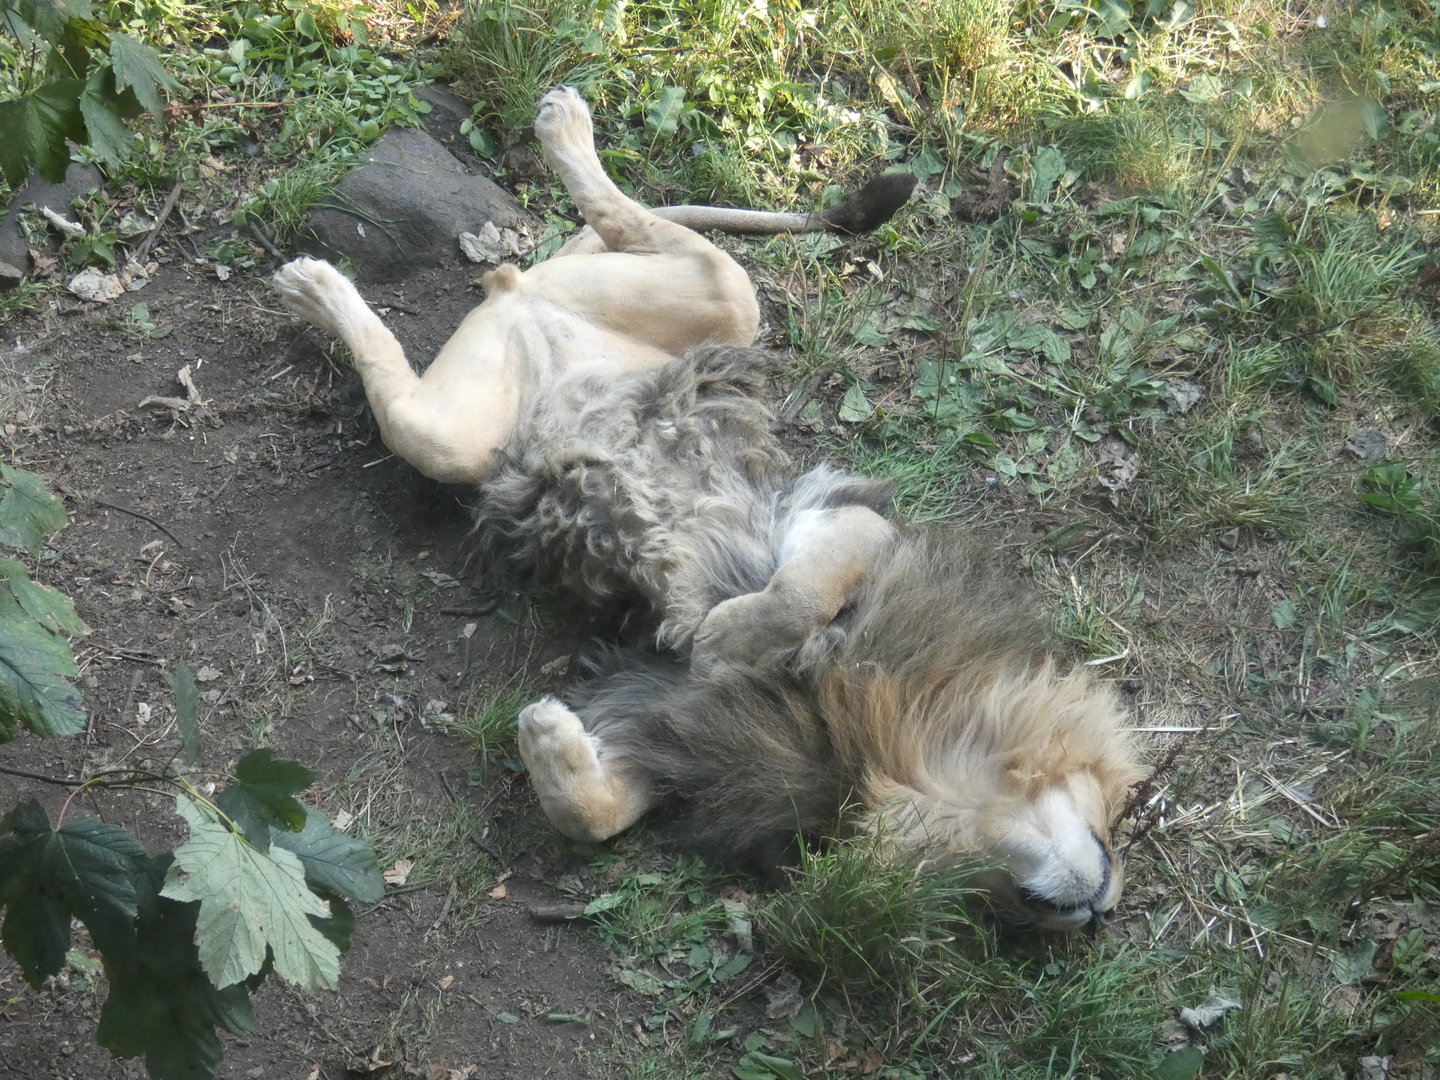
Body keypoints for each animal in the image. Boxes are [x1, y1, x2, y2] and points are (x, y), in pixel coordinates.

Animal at [274, 88, 1145, 932]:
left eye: (993, 904)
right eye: (1109, 826)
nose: (1094, 911)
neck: (903, 746)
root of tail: (526, 298)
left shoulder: (657, 719)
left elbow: (598, 814)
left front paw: (547, 735)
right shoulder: (841, 515)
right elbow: (798, 593)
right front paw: (726, 637)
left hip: (517, 397)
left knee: (600, 251)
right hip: (699, 315)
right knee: (631, 226)